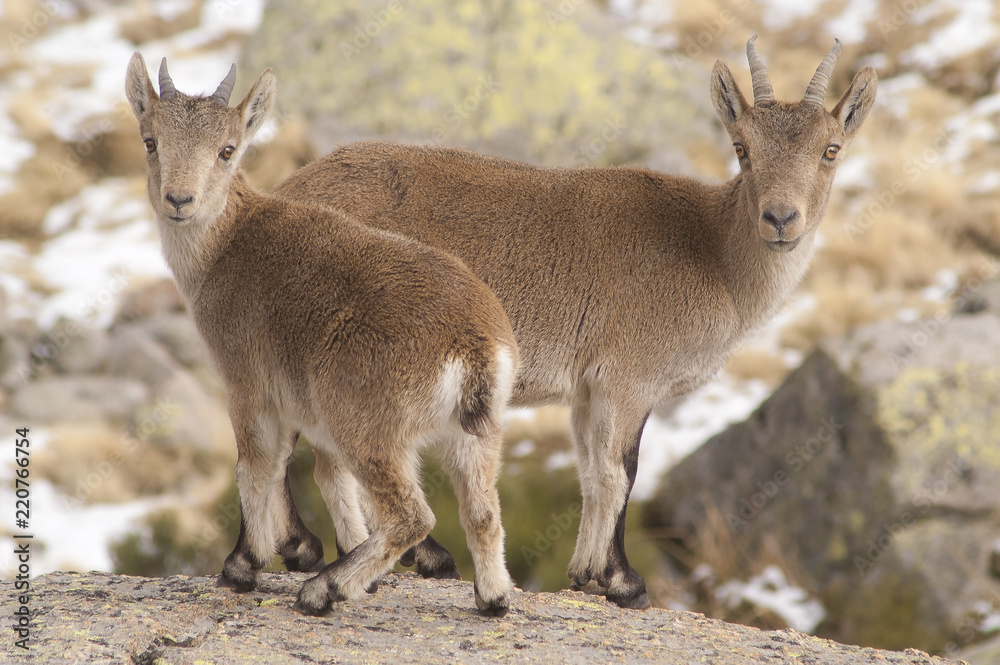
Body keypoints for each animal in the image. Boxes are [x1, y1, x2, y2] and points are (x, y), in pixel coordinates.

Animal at [124, 53, 517, 616]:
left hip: (366, 426)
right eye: (151, 140)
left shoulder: (247, 382)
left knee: (412, 515)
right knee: (482, 512)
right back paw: (491, 598)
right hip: (475, 434)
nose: (180, 199)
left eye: (227, 149)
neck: (227, 246)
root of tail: (474, 347)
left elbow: (256, 466)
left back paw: (323, 589)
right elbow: (326, 480)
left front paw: (242, 567)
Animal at [272, 37, 877, 609]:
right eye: (742, 148)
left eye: (831, 149)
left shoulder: (589, 389)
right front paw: (624, 582)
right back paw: (317, 549)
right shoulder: (629, 378)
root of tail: (286, 190)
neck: (713, 254)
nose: (780, 218)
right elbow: (621, 471)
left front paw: (586, 572)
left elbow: (590, 471)